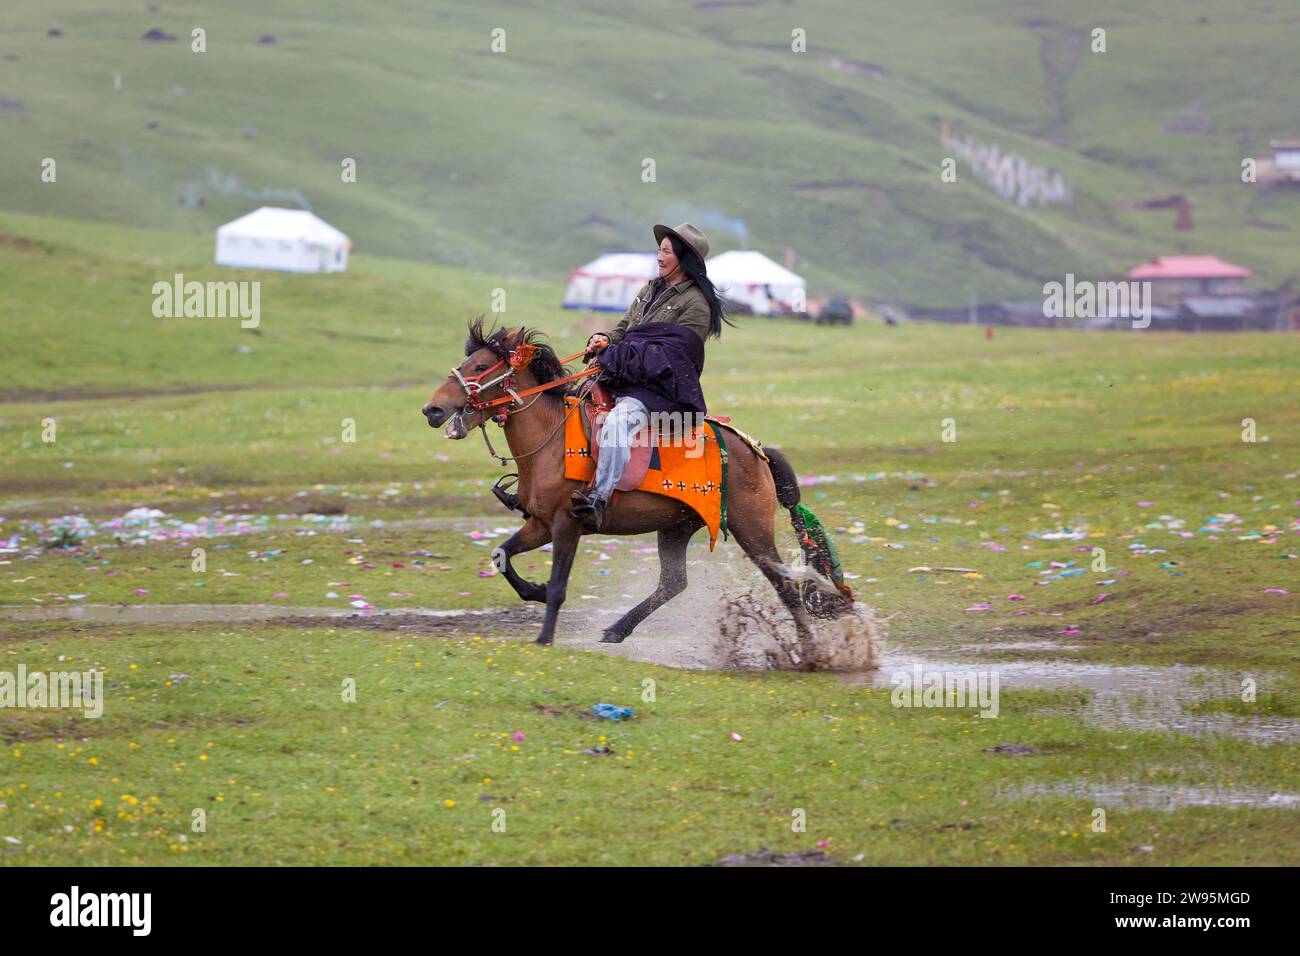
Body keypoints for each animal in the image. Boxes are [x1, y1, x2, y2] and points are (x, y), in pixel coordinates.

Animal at [421, 317, 837, 671]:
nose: (432, 410)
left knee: (785, 585)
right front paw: (533, 590)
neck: (549, 439)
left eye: (479, 366)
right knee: (673, 583)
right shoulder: (540, 523)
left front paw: (544, 636)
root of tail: (757, 450)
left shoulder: (566, 525)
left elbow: (559, 586)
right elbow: (502, 555)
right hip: (677, 526)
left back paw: (810, 653)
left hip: (752, 529)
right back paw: (616, 629)